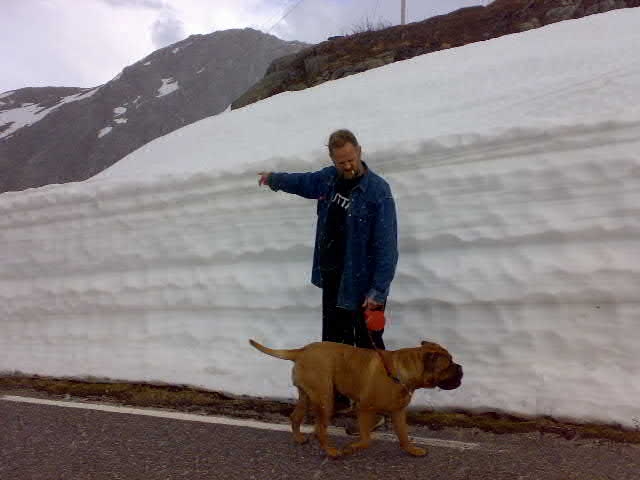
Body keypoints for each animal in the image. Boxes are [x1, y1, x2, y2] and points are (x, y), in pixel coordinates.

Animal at [248, 338, 462, 458]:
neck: (401, 373)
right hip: (325, 398)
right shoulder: (364, 409)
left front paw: (412, 450)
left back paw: (299, 438)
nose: (460, 368)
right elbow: (367, 439)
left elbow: (403, 435)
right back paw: (331, 452)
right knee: (320, 430)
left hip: (307, 396)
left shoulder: (398, 412)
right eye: (448, 365)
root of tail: (301, 351)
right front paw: (352, 448)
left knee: (295, 417)